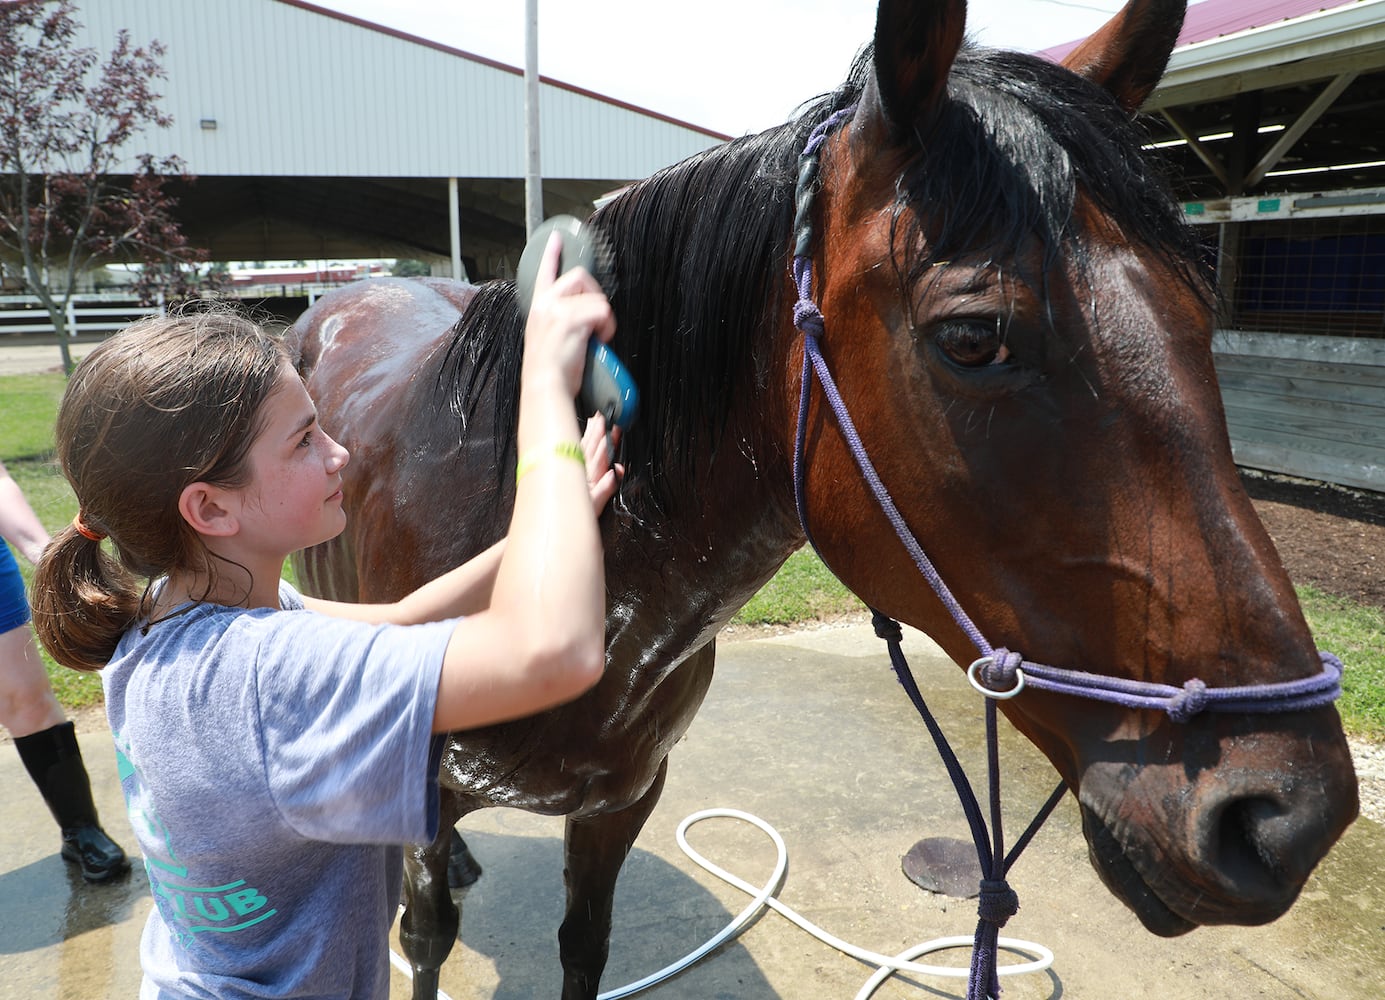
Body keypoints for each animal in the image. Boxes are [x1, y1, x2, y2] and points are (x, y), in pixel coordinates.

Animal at [286, 1, 1357, 997]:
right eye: (972, 336)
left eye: (1198, 313)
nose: (1285, 818)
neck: (538, 550)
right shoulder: (430, 805)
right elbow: (425, 940)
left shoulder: (620, 804)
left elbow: (583, 949)